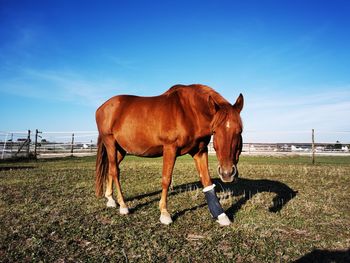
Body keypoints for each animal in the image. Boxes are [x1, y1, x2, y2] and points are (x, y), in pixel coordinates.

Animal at [95, 84, 243, 227]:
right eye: (215, 131)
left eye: (239, 131)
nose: (227, 173)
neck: (189, 112)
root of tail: (101, 107)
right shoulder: (170, 148)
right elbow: (166, 179)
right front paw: (164, 214)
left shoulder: (200, 152)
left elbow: (207, 181)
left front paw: (221, 215)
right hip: (110, 143)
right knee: (115, 171)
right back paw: (123, 206)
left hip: (120, 150)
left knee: (111, 169)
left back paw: (110, 199)